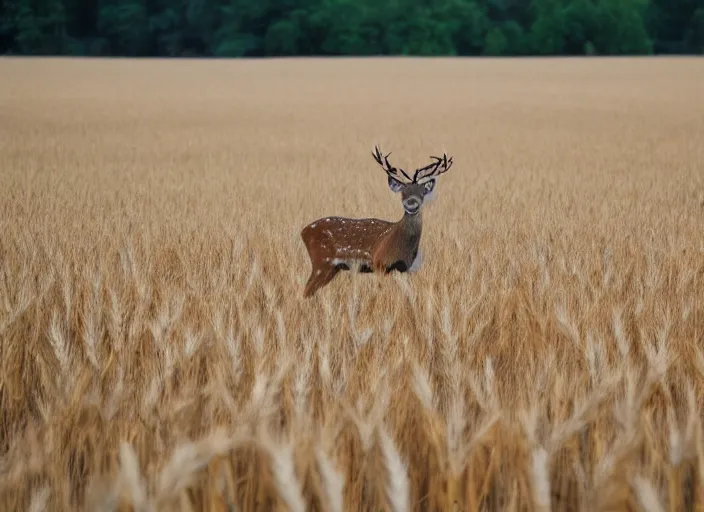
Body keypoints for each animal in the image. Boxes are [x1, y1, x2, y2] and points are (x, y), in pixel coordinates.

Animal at [300, 146, 454, 298]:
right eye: (403, 192)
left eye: (422, 192)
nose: (411, 204)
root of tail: (304, 231)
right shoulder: (379, 263)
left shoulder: (403, 269)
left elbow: (409, 294)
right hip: (322, 262)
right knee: (306, 290)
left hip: (332, 268)